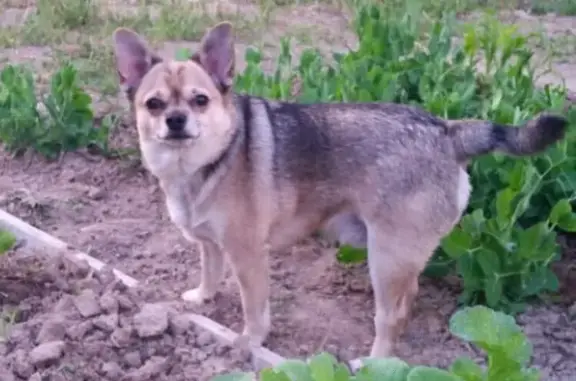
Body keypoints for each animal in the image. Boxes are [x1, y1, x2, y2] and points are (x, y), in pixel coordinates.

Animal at [111, 21, 568, 360]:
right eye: (153, 105)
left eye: (200, 101)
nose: (175, 119)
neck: (200, 163)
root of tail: (446, 131)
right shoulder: (210, 244)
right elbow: (209, 270)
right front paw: (202, 297)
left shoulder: (249, 256)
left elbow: (254, 308)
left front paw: (249, 342)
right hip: (396, 256)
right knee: (409, 300)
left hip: (385, 258)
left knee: (391, 316)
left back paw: (375, 362)